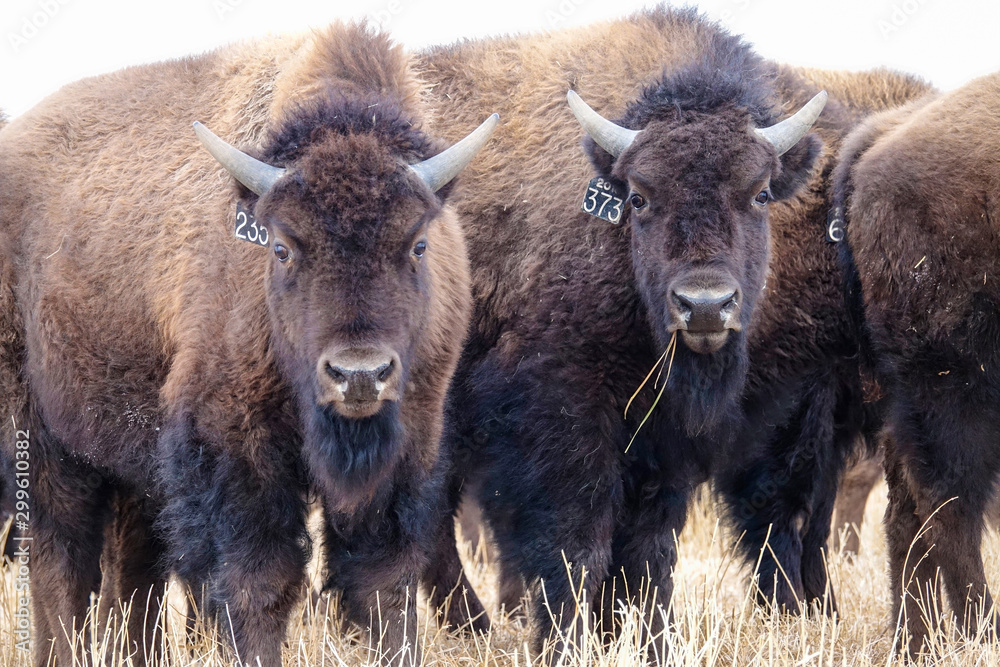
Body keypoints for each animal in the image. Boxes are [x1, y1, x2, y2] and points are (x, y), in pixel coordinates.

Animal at [0, 20, 496, 667]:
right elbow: (260, 582)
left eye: (417, 244)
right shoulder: (234, 445)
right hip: (45, 435)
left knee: (131, 570)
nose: (359, 374)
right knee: (62, 559)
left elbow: (384, 582)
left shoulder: (409, 440)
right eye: (281, 247)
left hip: (132, 456)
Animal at [412, 6, 928, 656]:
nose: (705, 306)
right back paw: (471, 625)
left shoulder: (678, 434)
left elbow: (652, 549)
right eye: (638, 197)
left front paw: (649, 639)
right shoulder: (565, 419)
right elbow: (579, 540)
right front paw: (569, 640)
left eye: (760, 194)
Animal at [832, 74, 1000, 656]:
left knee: (906, 513)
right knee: (948, 506)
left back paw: (916, 641)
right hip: (953, 387)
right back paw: (980, 631)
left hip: (903, 403)